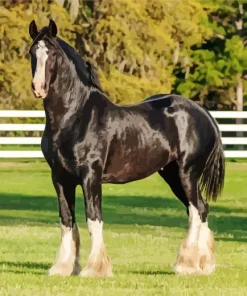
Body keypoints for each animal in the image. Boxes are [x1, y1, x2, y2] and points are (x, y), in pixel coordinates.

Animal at [28, 19, 225, 276]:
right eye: (32, 52)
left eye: (52, 54)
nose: (38, 87)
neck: (76, 116)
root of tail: (205, 114)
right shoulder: (60, 178)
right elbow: (66, 220)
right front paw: (62, 268)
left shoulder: (90, 176)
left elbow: (93, 219)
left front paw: (95, 269)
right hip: (172, 176)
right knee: (201, 209)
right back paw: (203, 264)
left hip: (187, 174)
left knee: (195, 211)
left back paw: (185, 265)